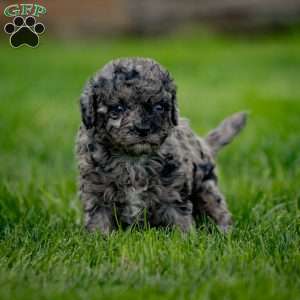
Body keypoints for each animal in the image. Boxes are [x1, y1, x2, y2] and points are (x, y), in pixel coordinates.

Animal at [75, 56, 246, 234]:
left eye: (158, 107)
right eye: (118, 108)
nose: (143, 129)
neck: (133, 159)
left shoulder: (172, 191)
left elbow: (179, 219)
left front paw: (186, 238)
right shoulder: (96, 192)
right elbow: (98, 220)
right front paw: (99, 237)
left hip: (205, 185)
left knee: (217, 207)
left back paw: (225, 231)